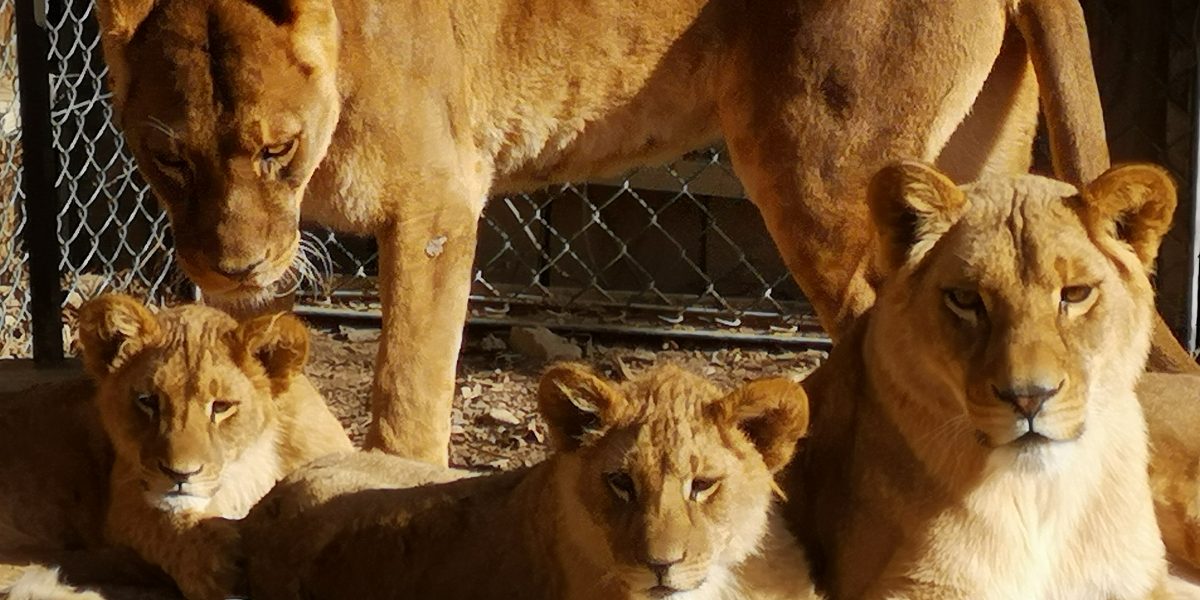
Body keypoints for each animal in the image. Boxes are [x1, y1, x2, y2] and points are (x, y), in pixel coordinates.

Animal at [75, 296, 350, 600]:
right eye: (148, 401)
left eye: (221, 407)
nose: (180, 474)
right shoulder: (122, 501)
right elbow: (156, 523)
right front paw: (217, 563)